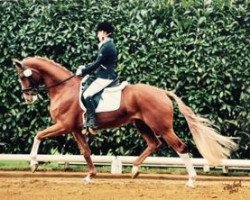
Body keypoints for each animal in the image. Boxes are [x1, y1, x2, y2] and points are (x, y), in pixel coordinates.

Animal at [13, 55, 236, 188]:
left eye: (23, 77)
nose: (28, 98)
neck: (63, 89)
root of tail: (162, 92)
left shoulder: (64, 126)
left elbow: (38, 135)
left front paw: (33, 164)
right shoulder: (75, 129)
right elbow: (86, 152)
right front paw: (90, 175)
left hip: (162, 126)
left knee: (180, 147)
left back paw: (191, 180)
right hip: (141, 124)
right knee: (154, 143)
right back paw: (135, 169)